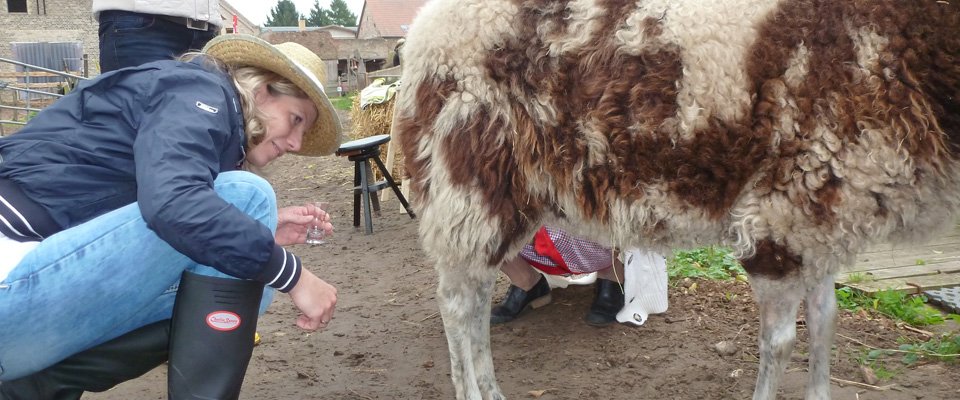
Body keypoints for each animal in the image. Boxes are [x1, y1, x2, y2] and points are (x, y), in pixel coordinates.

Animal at [392, 1, 960, 398]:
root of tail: (417, 36)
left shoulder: (817, 217)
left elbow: (824, 324)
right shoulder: (777, 216)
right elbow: (780, 341)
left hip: (504, 197)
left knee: (473, 300)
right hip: (465, 184)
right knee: (457, 307)